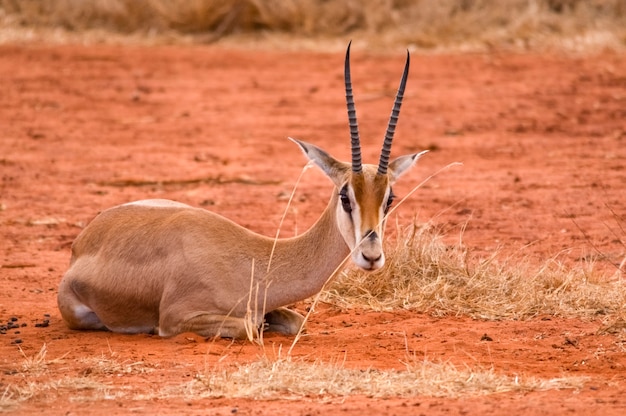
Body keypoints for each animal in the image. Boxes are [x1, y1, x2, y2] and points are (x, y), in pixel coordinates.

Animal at [57, 44, 424, 340]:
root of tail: (83, 240)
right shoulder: (176, 319)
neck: (255, 262)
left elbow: (293, 321)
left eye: (389, 199)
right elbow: (250, 325)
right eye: (345, 196)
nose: (371, 256)